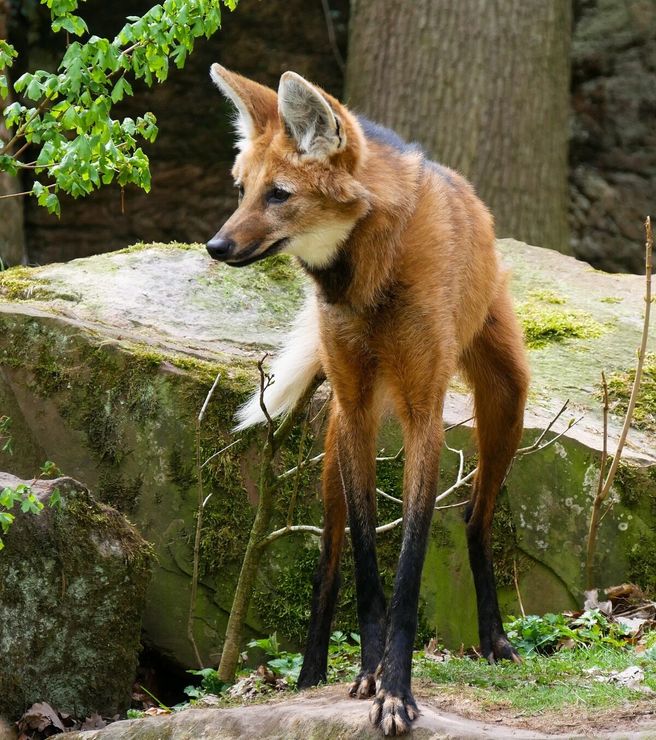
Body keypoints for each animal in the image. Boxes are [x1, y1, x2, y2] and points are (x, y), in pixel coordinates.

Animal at [208, 66, 532, 736]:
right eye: (242, 190)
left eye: (278, 195)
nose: (215, 246)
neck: (368, 276)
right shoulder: (357, 409)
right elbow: (362, 553)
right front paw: (371, 673)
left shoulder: (423, 412)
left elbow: (409, 562)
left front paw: (397, 692)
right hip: (336, 434)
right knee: (328, 556)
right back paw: (311, 676)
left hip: (506, 397)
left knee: (475, 515)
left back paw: (495, 640)